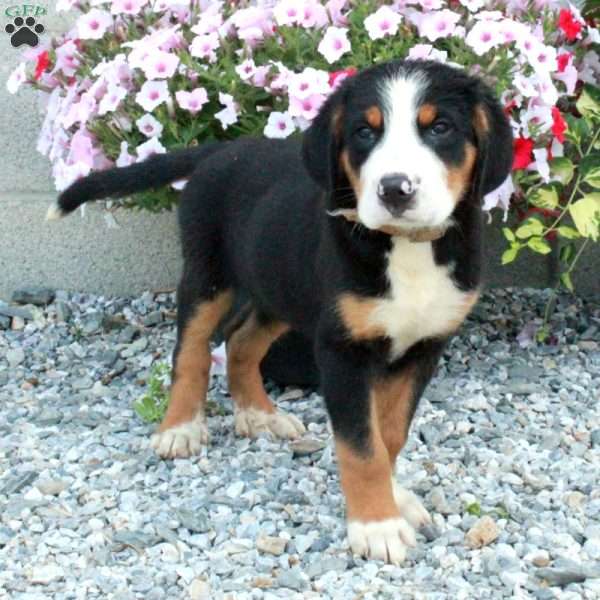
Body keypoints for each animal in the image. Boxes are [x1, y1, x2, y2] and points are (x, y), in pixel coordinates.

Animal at [49, 58, 512, 564]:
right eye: (364, 133)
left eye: (440, 128)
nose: (395, 189)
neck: (406, 249)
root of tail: (226, 149)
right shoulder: (341, 351)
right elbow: (361, 448)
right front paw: (376, 526)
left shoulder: (423, 347)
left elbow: (389, 435)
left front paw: (395, 499)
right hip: (208, 276)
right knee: (191, 352)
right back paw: (180, 429)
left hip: (278, 286)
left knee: (241, 342)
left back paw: (259, 415)